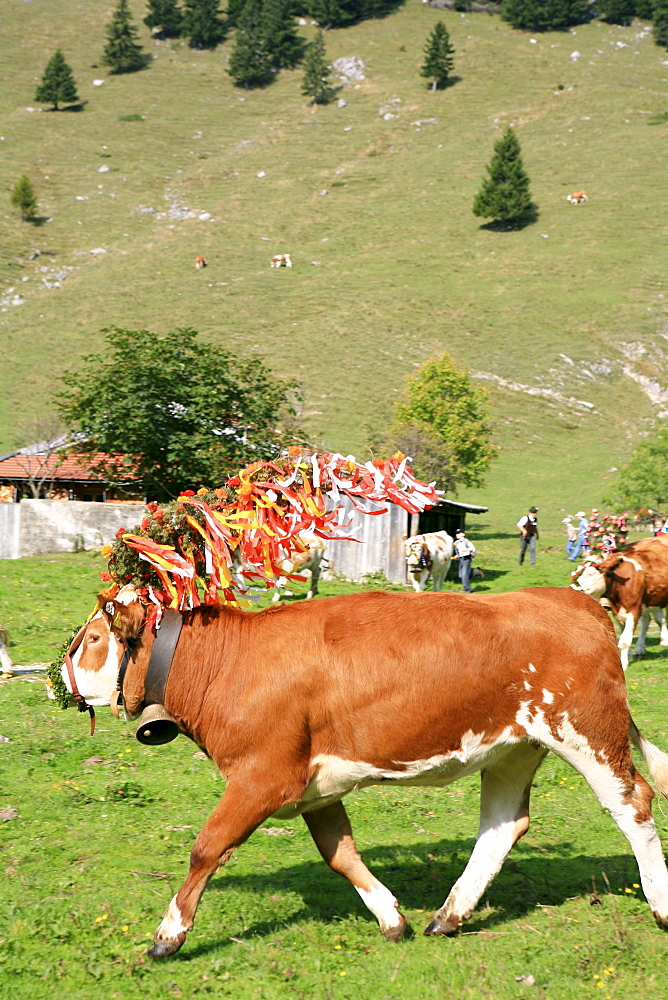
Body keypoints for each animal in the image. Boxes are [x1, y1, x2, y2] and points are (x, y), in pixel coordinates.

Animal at [60, 584, 668, 960]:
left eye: (92, 639)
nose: (55, 676)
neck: (228, 662)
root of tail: (572, 599)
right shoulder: (313, 788)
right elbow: (340, 854)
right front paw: (391, 917)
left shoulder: (263, 776)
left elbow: (207, 848)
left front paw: (170, 934)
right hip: (511, 750)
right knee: (501, 826)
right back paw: (448, 914)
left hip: (589, 734)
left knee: (634, 803)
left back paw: (661, 905)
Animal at [572, 536, 668, 668]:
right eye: (577, 572)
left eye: (591, 573)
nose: (574, 590)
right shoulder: (618, 612)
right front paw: (628, 655)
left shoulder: (634, 610)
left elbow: (624, 640)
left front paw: (623, 663)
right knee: (650, 620)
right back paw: (642, 649)